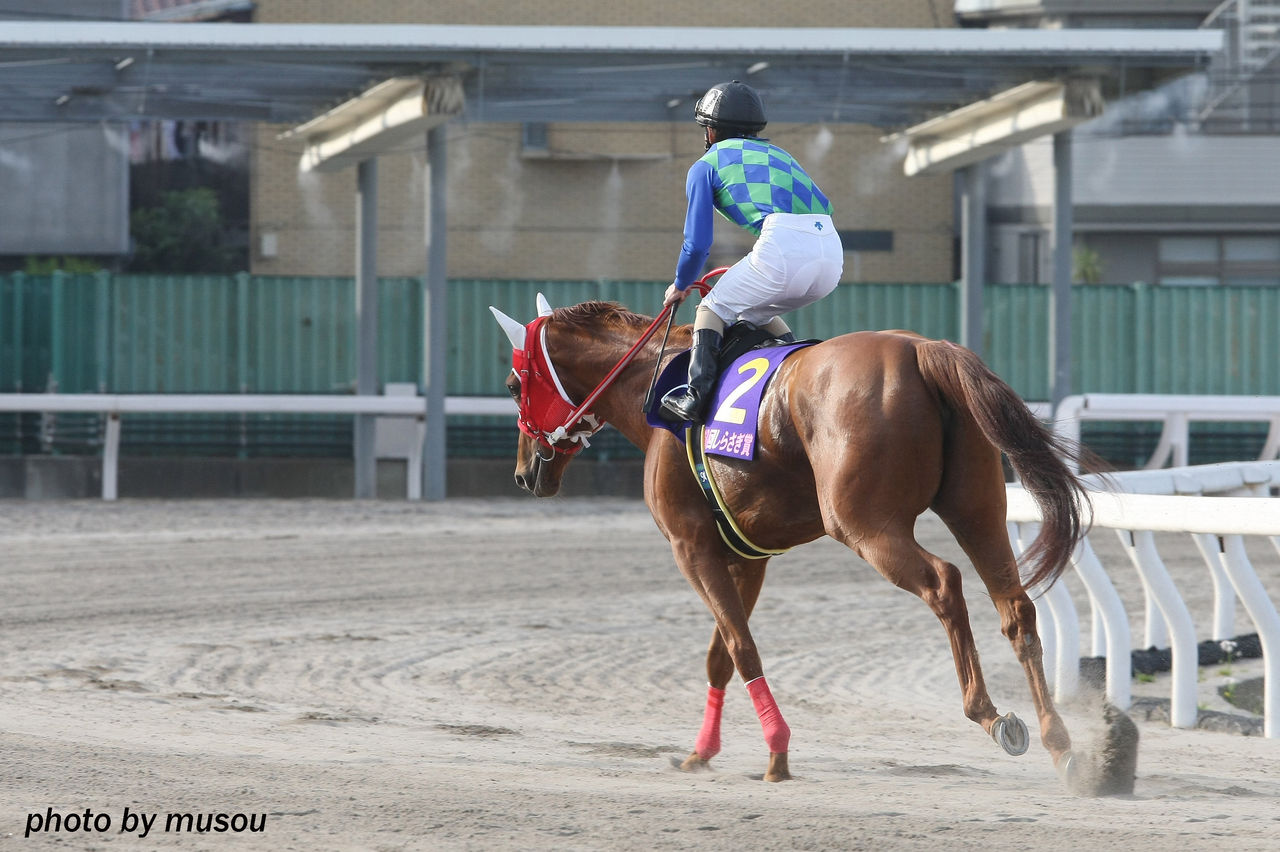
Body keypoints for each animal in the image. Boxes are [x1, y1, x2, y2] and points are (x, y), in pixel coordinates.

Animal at [489, 294, 1135, 796]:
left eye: (514, 384)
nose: (523, 474)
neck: (657, 382)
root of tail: (923, 350)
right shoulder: (745, 556)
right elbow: (721, 654)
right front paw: (701, 751)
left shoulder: (691, 547)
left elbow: (742, 648)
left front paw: (777, 754)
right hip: (977, 509)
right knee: (1014, 606)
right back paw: (1062, 745)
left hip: (864, 523)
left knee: (944, 583)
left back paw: (990, 714)